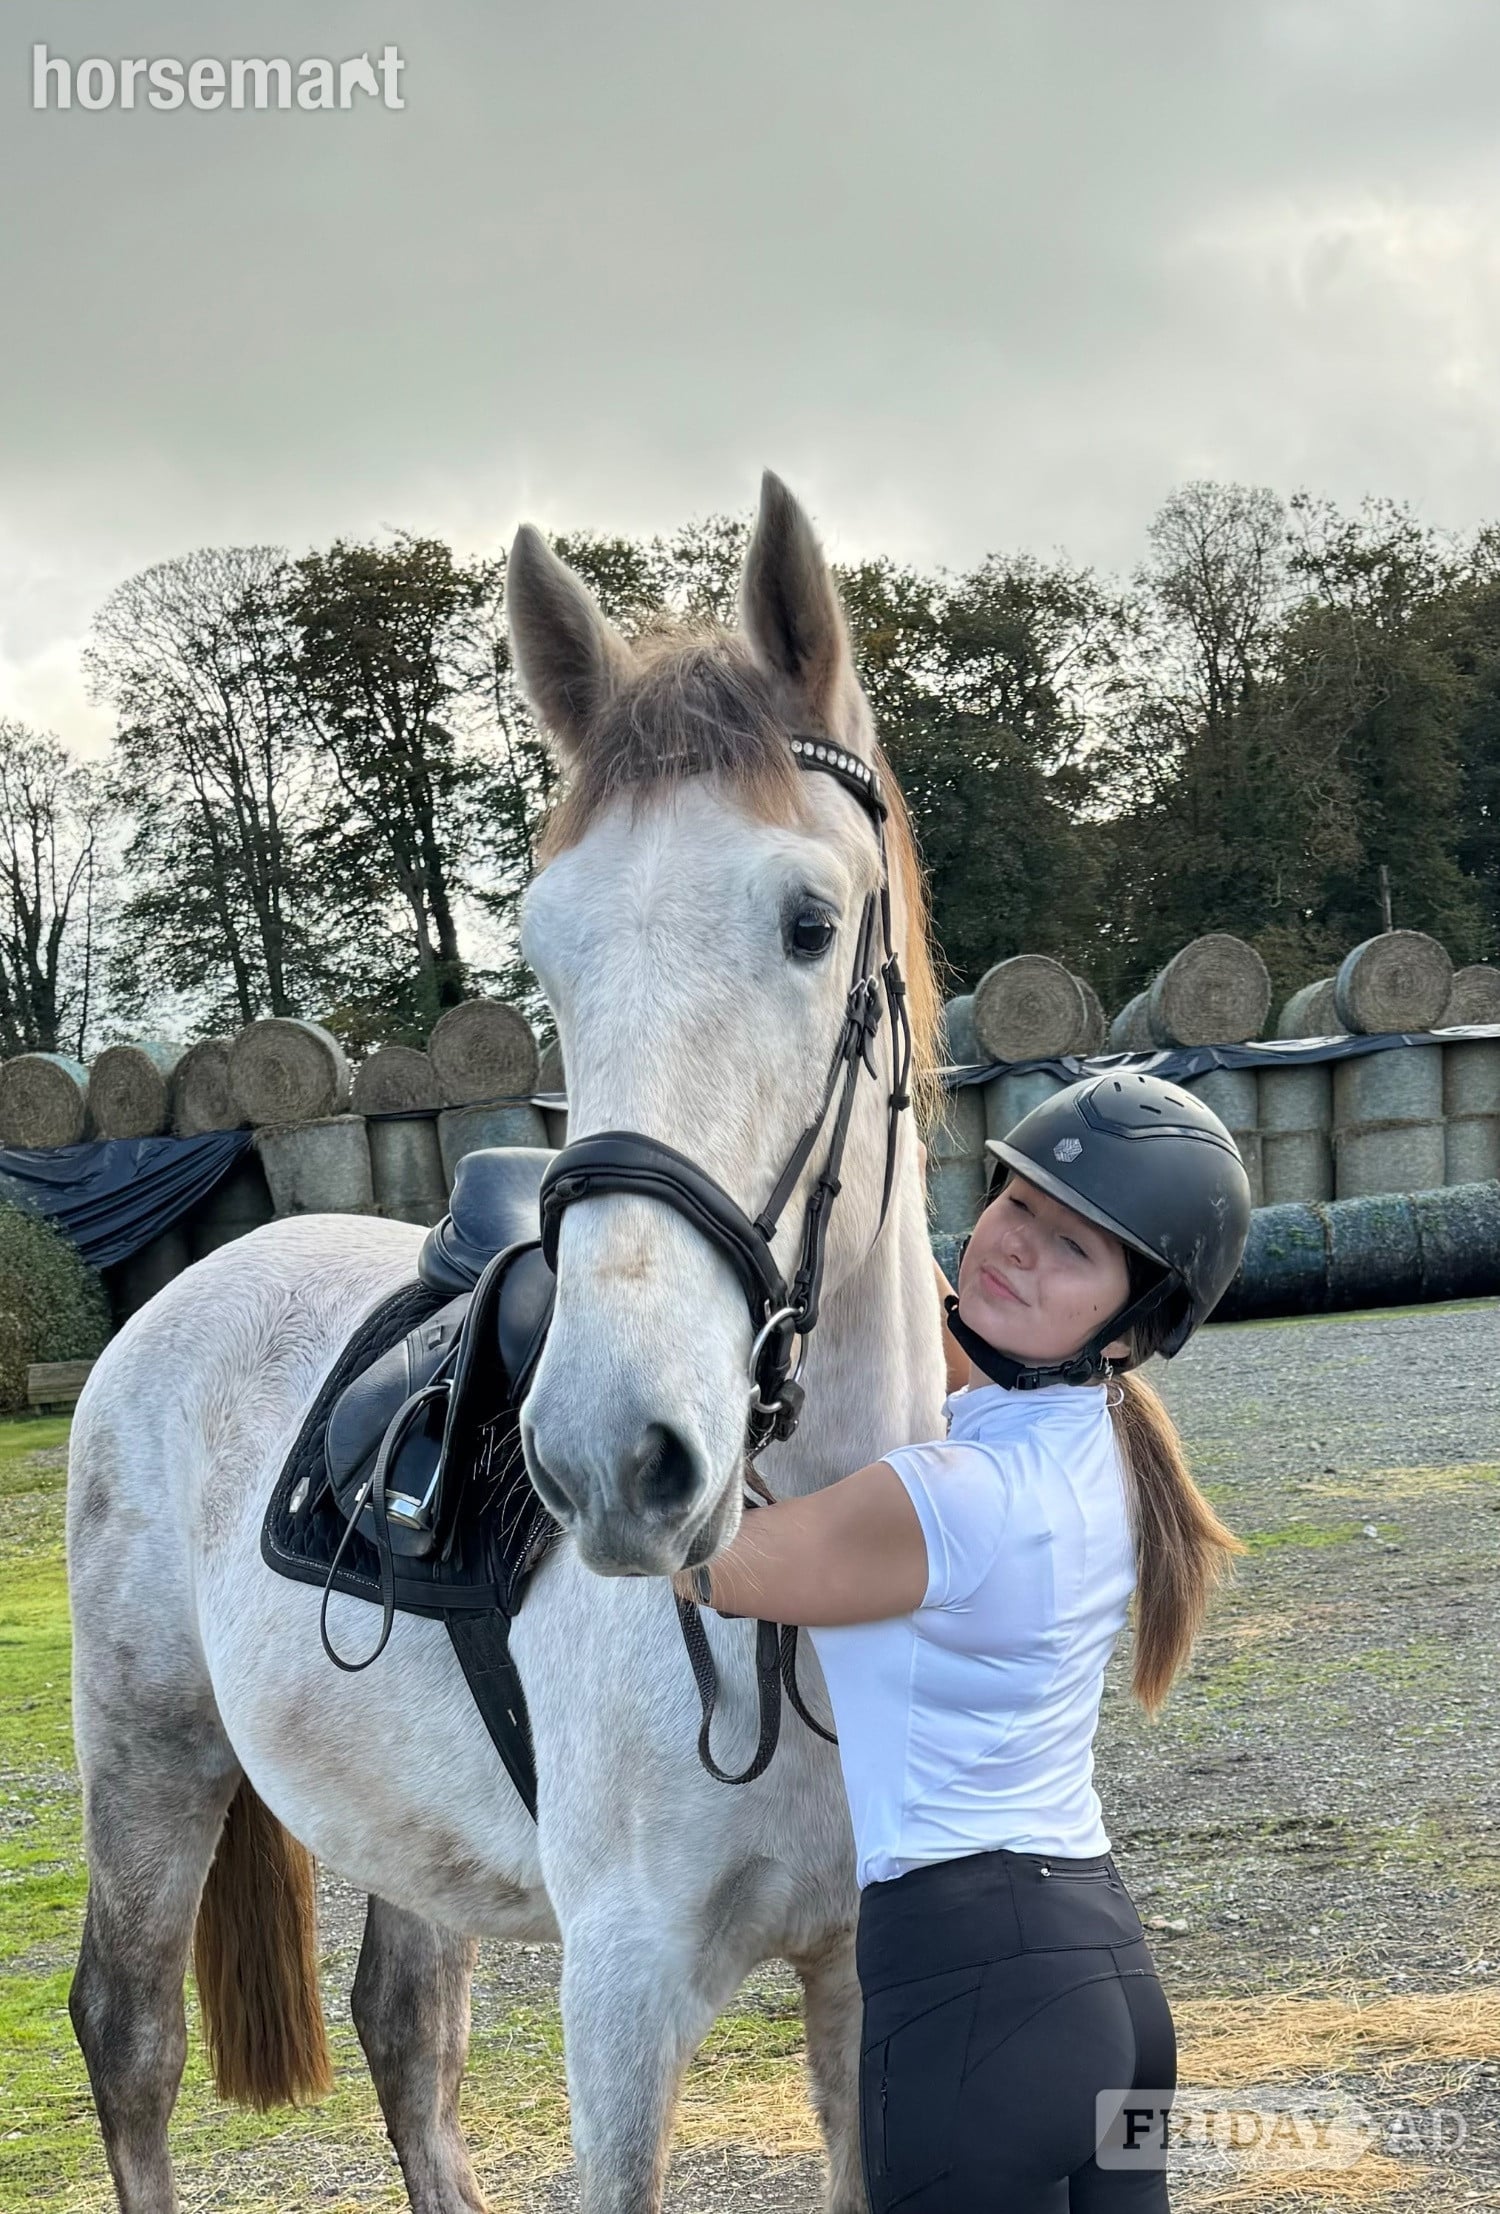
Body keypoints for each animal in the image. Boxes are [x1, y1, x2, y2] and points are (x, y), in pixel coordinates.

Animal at [65, 472, 947, 2214]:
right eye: (546, 951)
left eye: (811, 921)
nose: (613, 1452)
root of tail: (177, 1300)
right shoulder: (624, 1994)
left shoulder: (865, 1971)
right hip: (148, 1761)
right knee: (129, 2041)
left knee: (404, 2032)